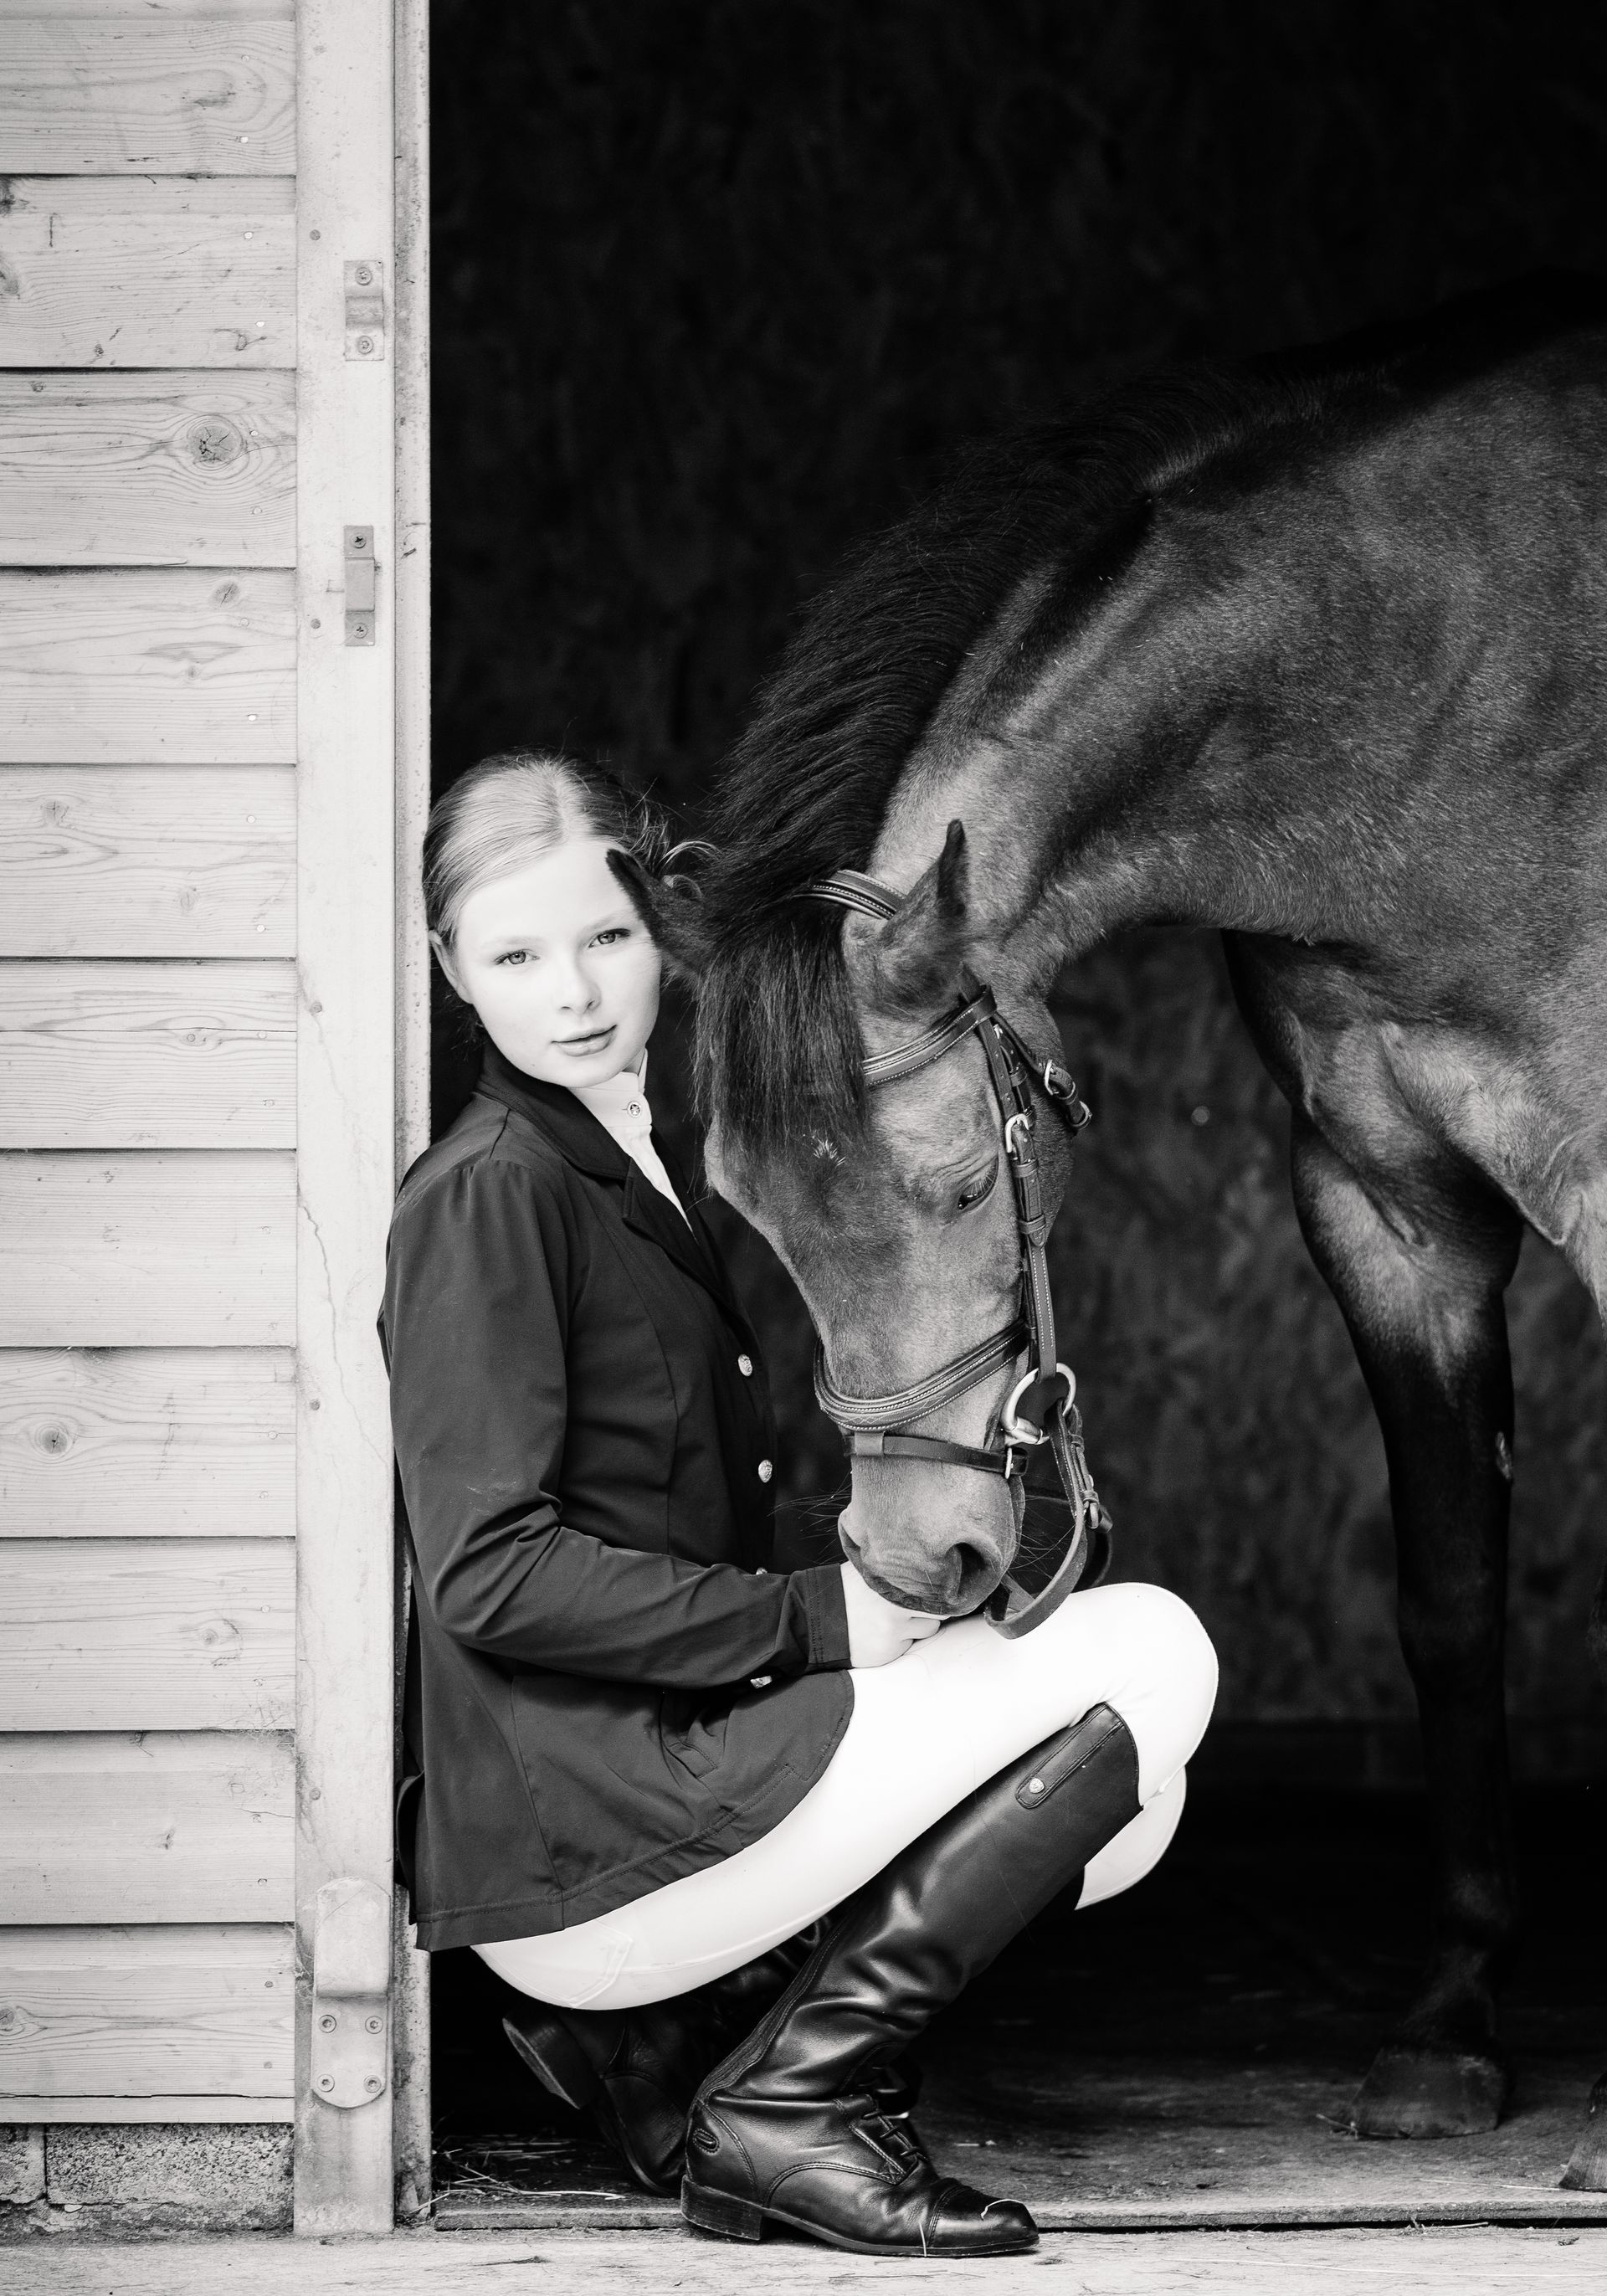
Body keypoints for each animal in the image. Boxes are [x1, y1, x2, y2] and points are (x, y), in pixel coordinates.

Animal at [637, 275, 1607, 2182]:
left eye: (958, 1180)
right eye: (745, 1208)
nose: (922, 1560)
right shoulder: (1383, 1201)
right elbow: (1453, 1592)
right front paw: (1451, 2023)